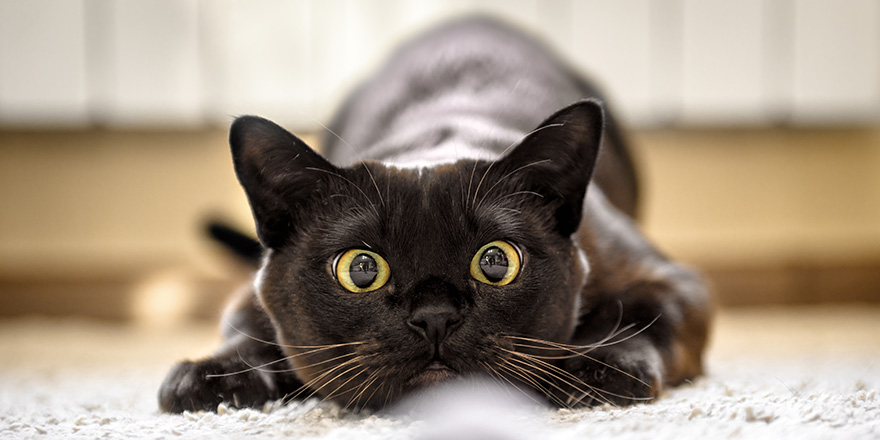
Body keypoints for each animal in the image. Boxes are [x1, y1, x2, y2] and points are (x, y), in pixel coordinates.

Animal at [158, 17, 712, 414]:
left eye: (496, 262)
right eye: (361, 269)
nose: (435, 317)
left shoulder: (669, 279)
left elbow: (639, 318)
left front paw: (595, 368)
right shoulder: (249, 292)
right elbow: (243, 328)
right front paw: (209, 379)